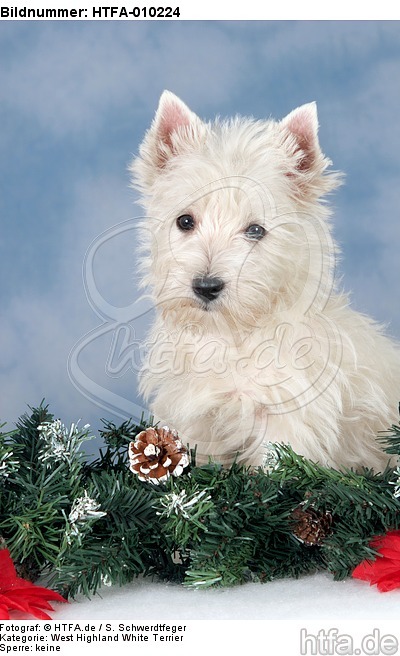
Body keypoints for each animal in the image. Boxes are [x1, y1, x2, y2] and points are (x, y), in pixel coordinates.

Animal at [131, 91, 400, 472]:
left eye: (256, 230)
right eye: (185, 221)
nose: (206, 287)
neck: (232, 336)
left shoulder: (285, 419)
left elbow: (275, 471)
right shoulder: (199, 421)